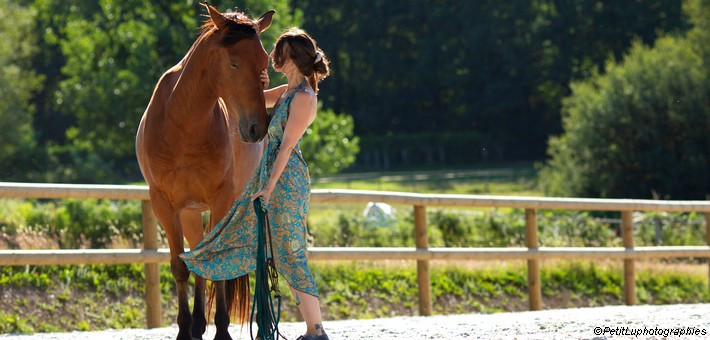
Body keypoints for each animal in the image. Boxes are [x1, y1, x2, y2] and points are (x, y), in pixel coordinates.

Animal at [135, 4, 274, 340]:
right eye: (234, 62)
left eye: (264, 64)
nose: (257, 127)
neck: (183, 124)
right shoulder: (163, 204)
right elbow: (180, 266)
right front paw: (184, 329)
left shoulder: (221, 200)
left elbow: (217, 263)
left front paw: (221, 330)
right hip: (189, 211)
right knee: (196, 254)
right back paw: (197, 325)